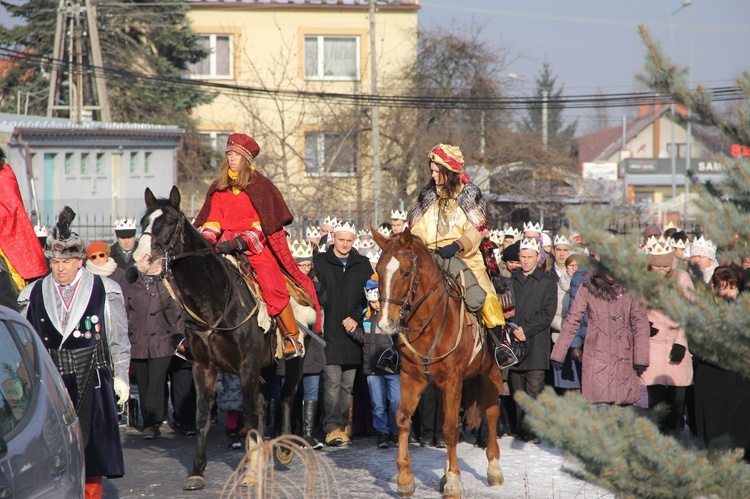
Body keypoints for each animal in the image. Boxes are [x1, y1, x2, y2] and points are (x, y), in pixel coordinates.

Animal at [134, 186, 304, 490]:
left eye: (170, 221)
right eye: (143, 222)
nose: (141, 260)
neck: (213, 299)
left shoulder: (247, 366)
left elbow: (249, 415)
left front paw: (249, 473)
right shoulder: (204, 367)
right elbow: (202, 416)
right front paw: (197, 471)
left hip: (291, 361)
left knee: (285, 397)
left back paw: (283, 450)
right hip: (266, 366)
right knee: (265, 405)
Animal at [374, 229, 508, 498]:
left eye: (406, 272)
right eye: (378, 270)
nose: (385, 323)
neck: (429, 322)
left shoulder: (453, 379)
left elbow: (450, 428)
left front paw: (454, 482)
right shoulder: (412, 378)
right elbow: (403, 418)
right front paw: (405, 479)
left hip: (492, 373)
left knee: (491, 413)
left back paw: (494, 470)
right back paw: (445, 475)